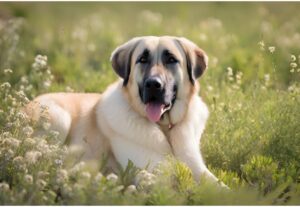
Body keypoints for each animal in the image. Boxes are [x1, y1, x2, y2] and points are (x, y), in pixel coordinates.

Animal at [26, 35, 223, 184]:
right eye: (142, 60)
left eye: (171, 60)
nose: (153, 84)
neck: (165, 129)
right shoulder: (152, 174)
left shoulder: (199, 169)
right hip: (59, 119)